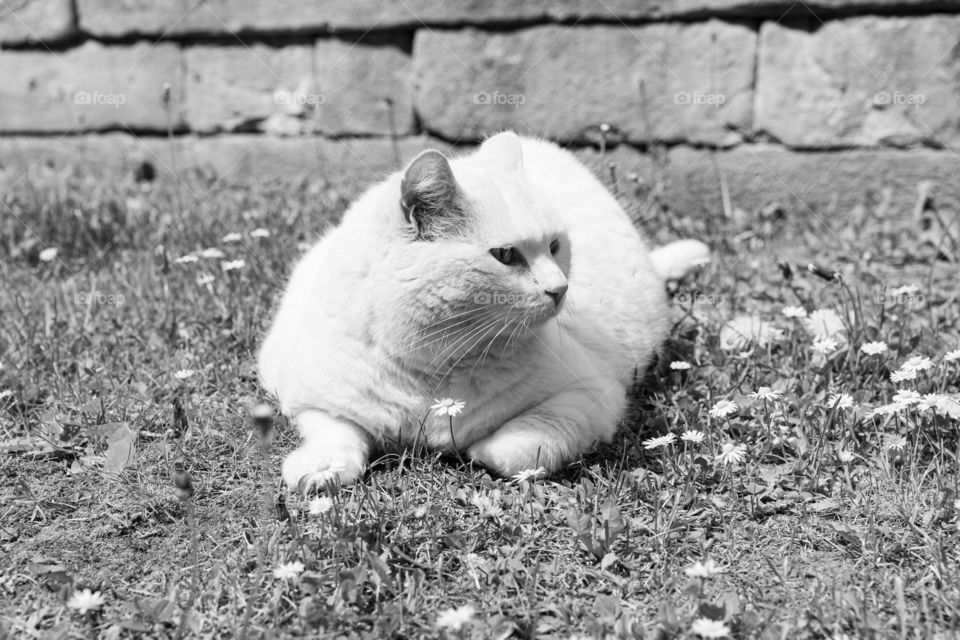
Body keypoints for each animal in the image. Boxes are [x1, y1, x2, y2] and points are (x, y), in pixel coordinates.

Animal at [258, 130, 708, 490]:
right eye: (505, 256)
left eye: (555, 246)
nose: (560, 289)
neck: (435, 368)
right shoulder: (309, 400)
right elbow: (338, 435)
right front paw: (320, 468)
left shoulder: (589, 398)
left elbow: (513, 447)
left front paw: (473, 446)